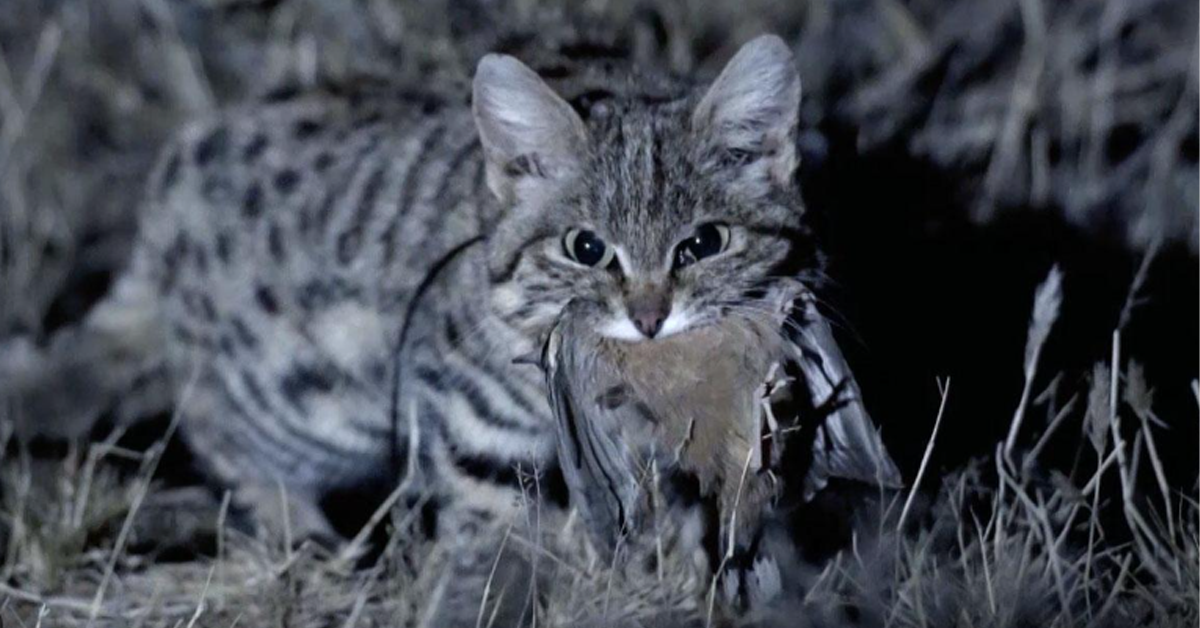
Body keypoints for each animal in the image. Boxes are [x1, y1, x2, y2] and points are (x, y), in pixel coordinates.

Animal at [4, 35, 897, 624]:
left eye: (704, 243)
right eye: (585, 248)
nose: (649, 318)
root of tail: (169, 185)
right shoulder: (476, 431)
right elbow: (487, 546)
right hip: (308, 395)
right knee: (222, 433)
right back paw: (304, 533)